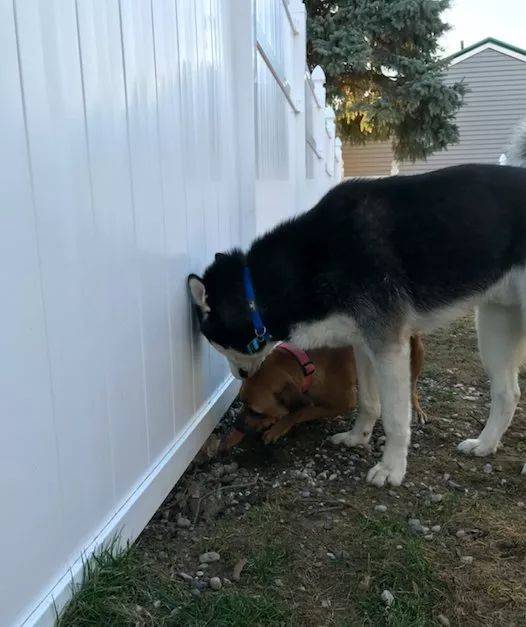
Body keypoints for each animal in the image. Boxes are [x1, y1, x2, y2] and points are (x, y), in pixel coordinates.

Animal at [224, 338, 428, 452]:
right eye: (242, 402)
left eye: (256, 412)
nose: (236, 425)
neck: (304, 361)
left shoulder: (345, 402)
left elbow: (302, 411)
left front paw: (278, 428)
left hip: (416, 353)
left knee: (412, 387)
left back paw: (417, 410)